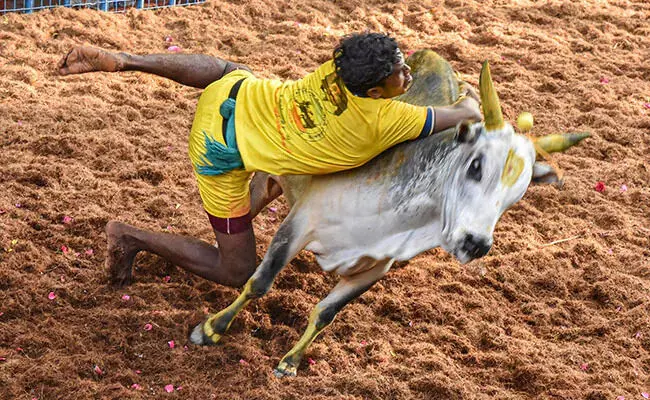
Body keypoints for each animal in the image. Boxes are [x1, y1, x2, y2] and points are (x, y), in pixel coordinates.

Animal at [187, 50, 588, 378]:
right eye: (476, 166)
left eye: (517, 195)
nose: (476, 243)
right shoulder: (299, 225)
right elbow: (259, 282)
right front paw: (211, 329)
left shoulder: (376, 267)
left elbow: (327, 312)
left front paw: (290, 362)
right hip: (266, 181)